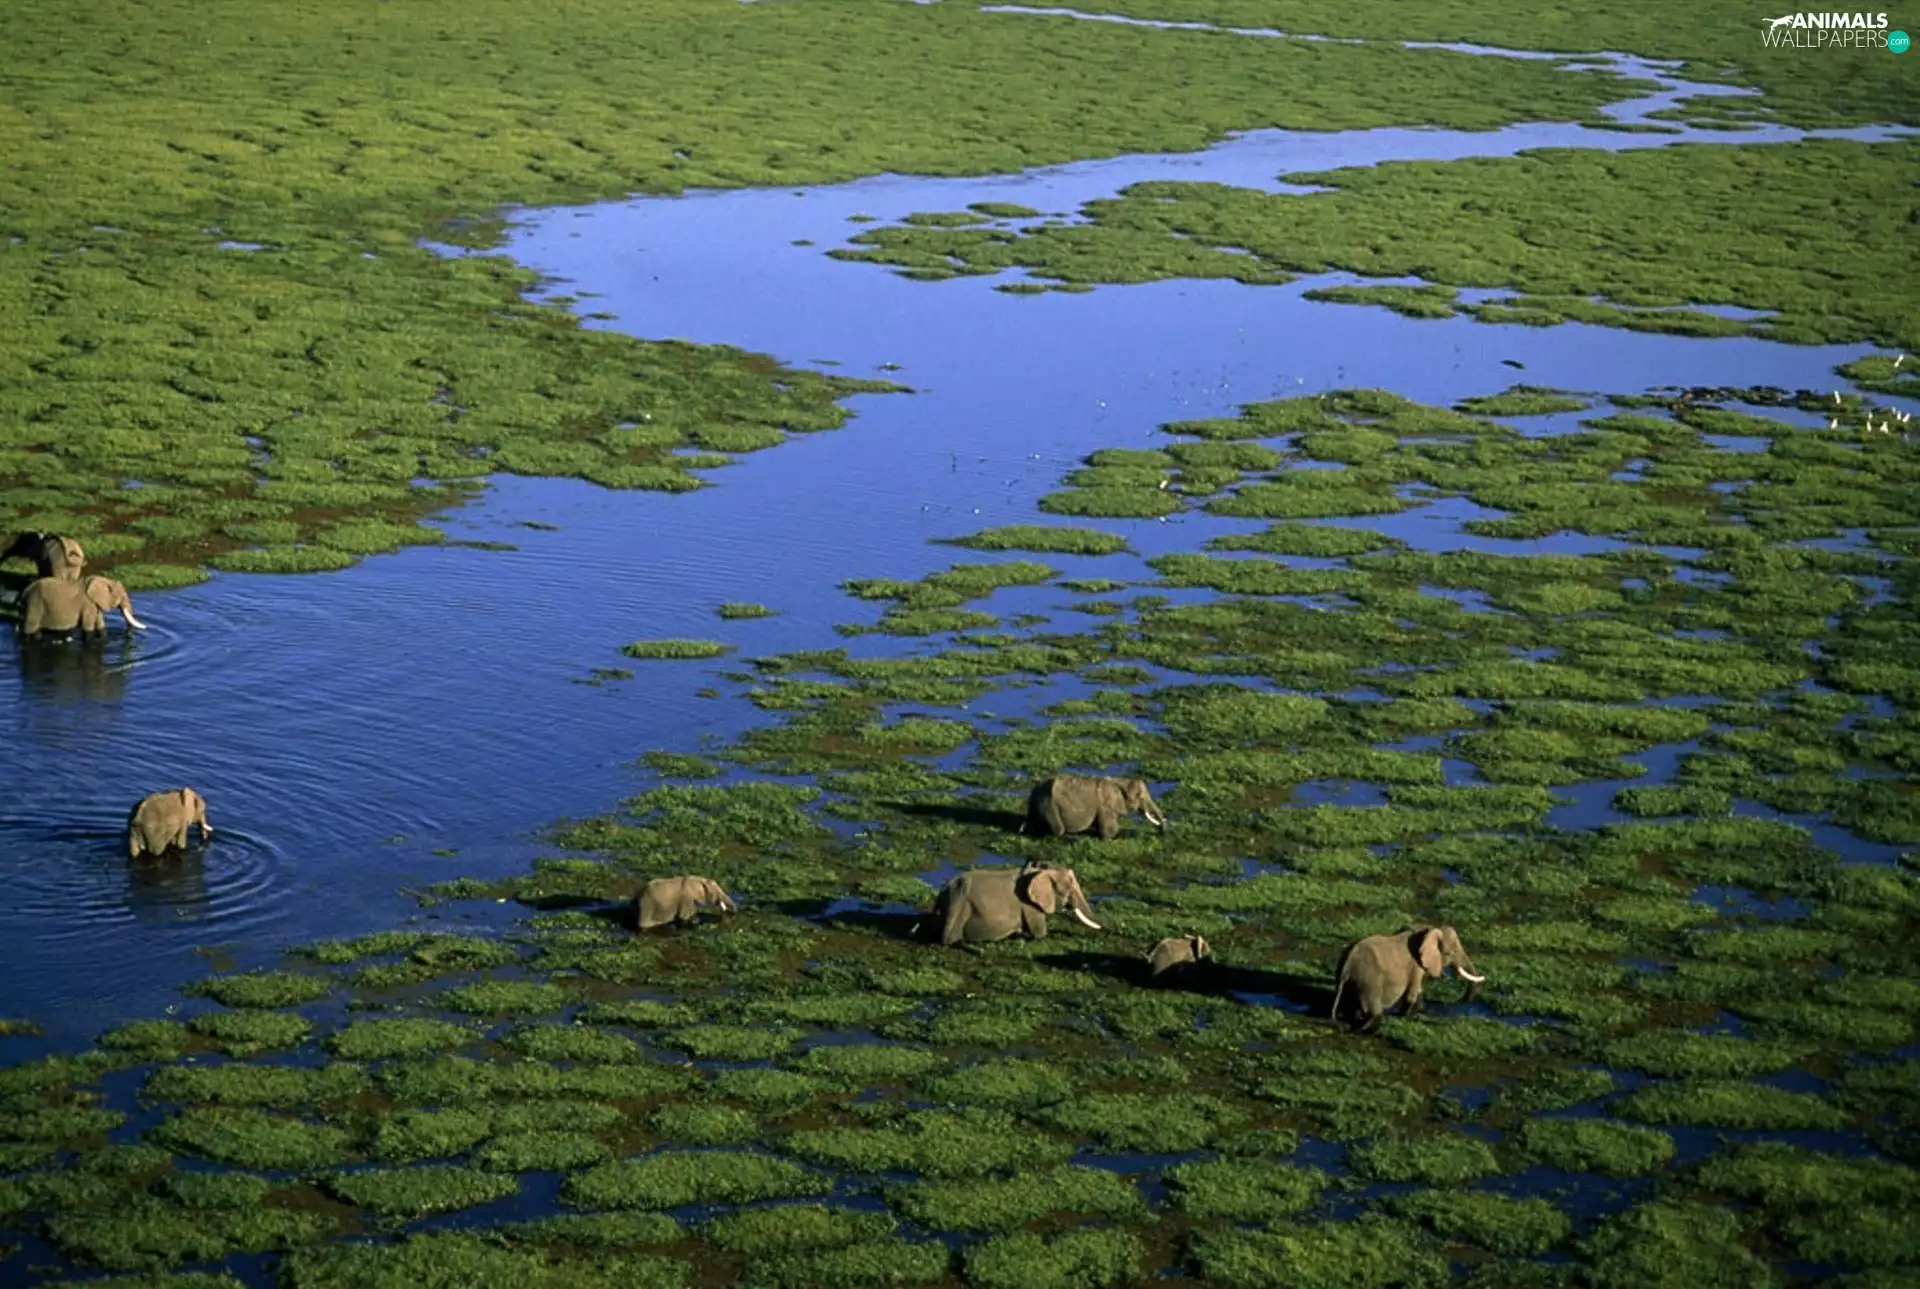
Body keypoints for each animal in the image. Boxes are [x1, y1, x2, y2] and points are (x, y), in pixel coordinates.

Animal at [921, 862, 1102, 946]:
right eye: (1070, 887)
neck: (1041, 871)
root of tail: (943, 891)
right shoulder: (1029, 905)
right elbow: (1039, 933)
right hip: (958, 905)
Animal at [1024, 775, 1167, 840]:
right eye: (1140, 797)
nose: (1160, 832)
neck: (1120, 781)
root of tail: (1033, 792)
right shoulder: (1105, 807)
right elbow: (1110, 829)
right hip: (1049, 806)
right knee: (1059, 830)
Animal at [1331, 925, 1485, 1033]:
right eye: (1453, 952)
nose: (1462, 1001)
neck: (1428, 930)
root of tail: (1347, 964)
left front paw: (1419, 1011)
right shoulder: (1415, 966)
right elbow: (1412, 994)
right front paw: (1405, 1016)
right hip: (1368, 979)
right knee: (1372, 1009)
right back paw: (1363, 1028)